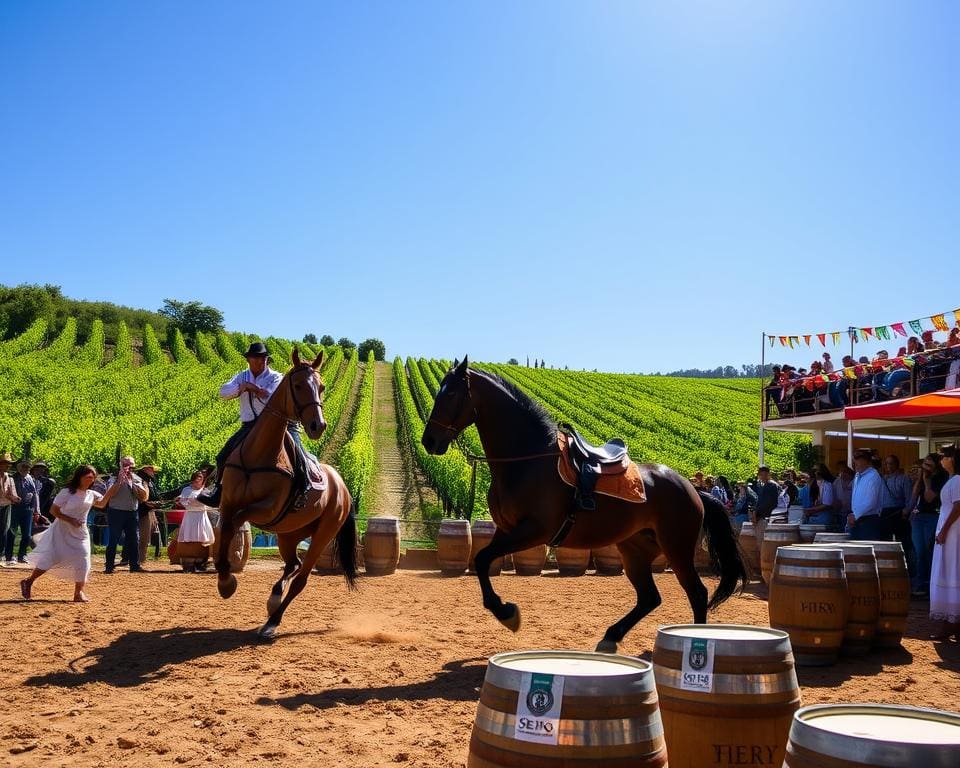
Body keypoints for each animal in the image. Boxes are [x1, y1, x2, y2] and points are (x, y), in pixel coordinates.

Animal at [214, 348, 356, 636]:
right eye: (298, 385)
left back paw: (272, 622)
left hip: (322, 535)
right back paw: (273, 599)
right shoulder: (228, 502)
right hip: (289, 535)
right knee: (294, 565)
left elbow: (235, 523)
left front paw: (227, 582)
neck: (258, 455)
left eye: (322, 387)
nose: (318, 426)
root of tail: (342, 486)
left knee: (301, 578)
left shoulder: (267, 509)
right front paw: (225, 581)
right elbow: (225, 529)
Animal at [422, 356, 752, 652]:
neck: (528, 460)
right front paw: (506, 612)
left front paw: (507, 613)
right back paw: (610, 637)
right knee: (650, 597)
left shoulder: (533, 531)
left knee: (696, 592)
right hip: (634, 549)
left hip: (677, 549)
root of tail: (693, 489)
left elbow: (482, 559)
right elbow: (480, 560)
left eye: (450, 394)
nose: (429, 441)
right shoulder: (505, 530)